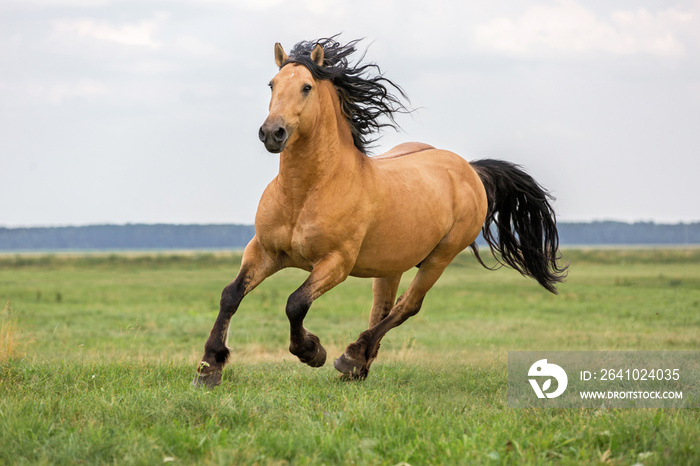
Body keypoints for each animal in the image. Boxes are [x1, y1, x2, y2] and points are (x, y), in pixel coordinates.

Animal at [193, 36, 568, 388]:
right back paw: (358, 367)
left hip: (440, 257)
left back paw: (350, 357)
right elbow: (231, 295)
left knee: (406, 307)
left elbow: (295, 303)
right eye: (272, 84)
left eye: (306, 87)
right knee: (382, 309)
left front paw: (312, 351)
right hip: (391, 264)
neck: (306, 192)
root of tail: (469, 169)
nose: (273, 133)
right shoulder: (264, 251)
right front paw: (209, 368)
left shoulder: (336, 263)